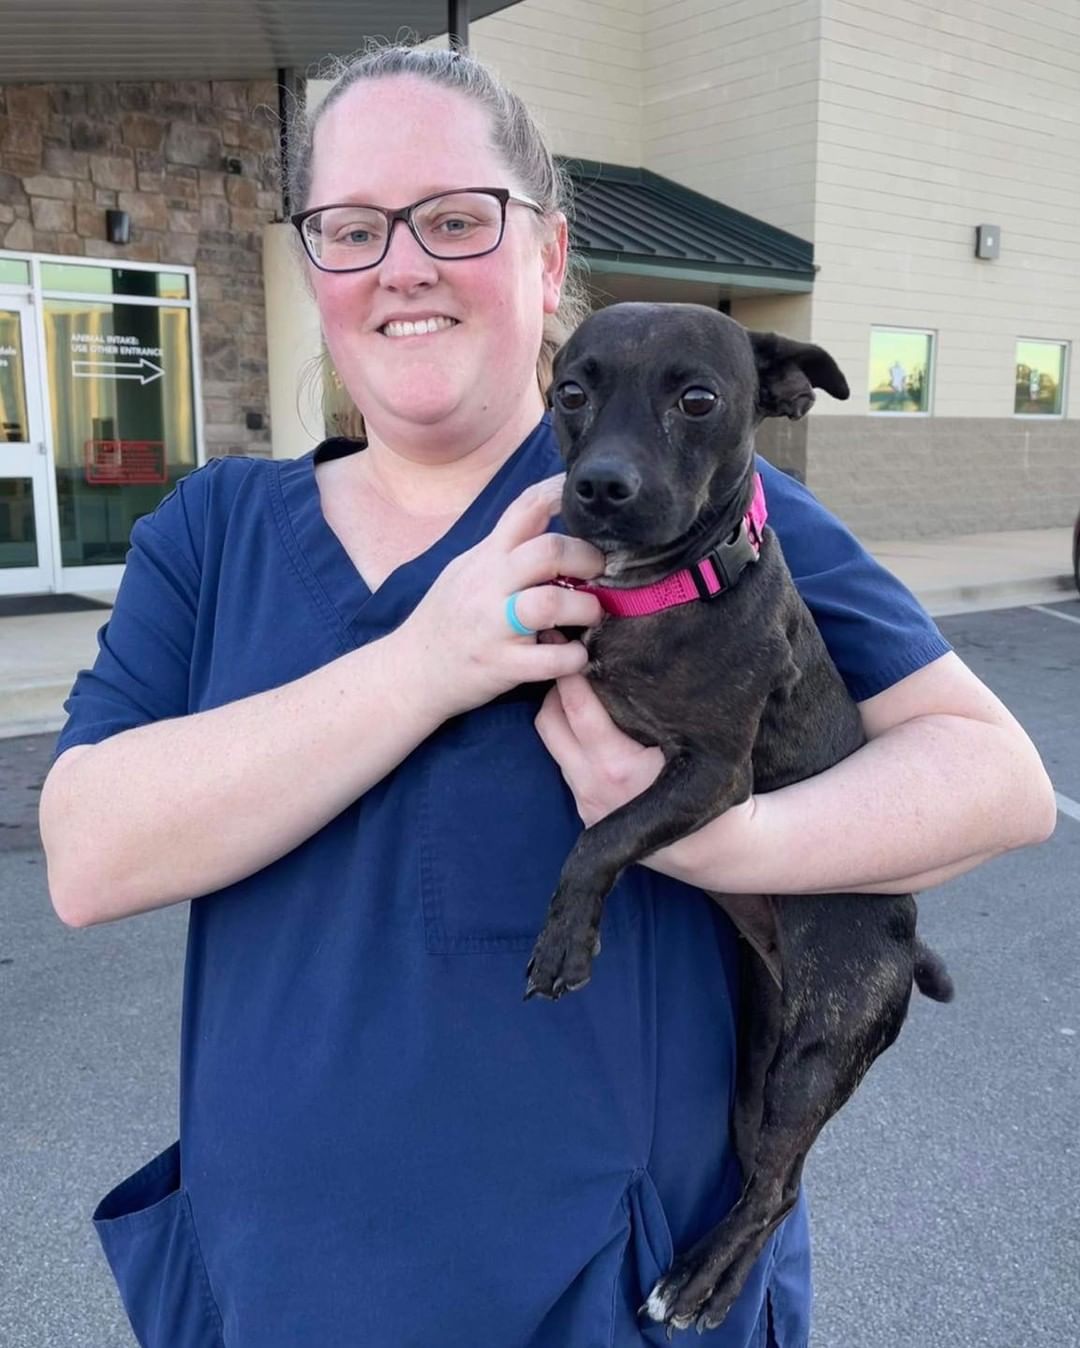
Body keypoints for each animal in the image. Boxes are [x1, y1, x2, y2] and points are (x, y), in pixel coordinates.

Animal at [525, 308, 954, 1337]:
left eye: (697, 399)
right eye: (572, 392)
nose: (599, 487)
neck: (658, 592)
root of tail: (905, 936)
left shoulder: (713, 778)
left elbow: (602, 835)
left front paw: (565, 942)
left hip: (816, 1059)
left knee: (775, 1191)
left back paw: (697, 1285)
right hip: (758, 1069)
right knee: (776, 1181)